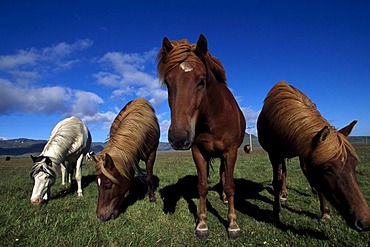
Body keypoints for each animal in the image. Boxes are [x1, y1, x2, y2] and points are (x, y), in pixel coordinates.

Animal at [157, 33, 246, 238]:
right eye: (168, 83)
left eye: (201, 81)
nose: (178, 137)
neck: (214, 118)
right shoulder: (198, 152)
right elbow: (202, 187)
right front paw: (202, 224)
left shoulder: (231, 152)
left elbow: (230, 186)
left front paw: (233, 224)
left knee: (224, 175)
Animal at [258, 81, 370, 232]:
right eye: (327, 168)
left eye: (354, 164)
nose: (364, 223)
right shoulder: (274, 155)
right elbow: (277, 181)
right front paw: (275, 212)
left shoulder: (306, 153)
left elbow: (313, 178)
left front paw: (325, 212)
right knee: (284, 174)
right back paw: (283, 194)